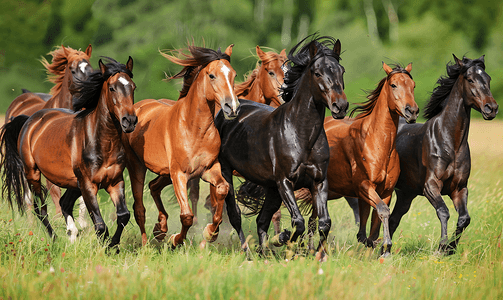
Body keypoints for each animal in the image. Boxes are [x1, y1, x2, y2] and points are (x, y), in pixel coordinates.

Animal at [121, 44, 240, 246]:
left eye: (234, 74)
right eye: (212, 75)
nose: (232, 107)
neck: (195, 129)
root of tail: (137, 108)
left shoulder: (208, 169)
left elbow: (222, 190)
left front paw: (210, 232)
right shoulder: (179, 174)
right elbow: (187, 216)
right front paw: (175, 240)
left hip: (165, 173)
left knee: (153, 186)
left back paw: (160, 229)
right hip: (137, 166)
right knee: (139, 208)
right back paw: (147, 243)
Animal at [215, 35, 348, 258]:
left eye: (342, 70)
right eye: (317, 73)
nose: (341, 106)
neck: (302, 135)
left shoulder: (319, 181)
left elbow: (323, 223)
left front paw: (316, 254)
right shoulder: (285, 182)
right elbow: (299, 222)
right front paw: (289, 247)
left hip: (271, 188)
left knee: (262, 220)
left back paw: (265, 253)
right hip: (226, 173)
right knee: (236, 215)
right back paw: (249, 252)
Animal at [386, 54, 500, 255]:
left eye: (488, 79)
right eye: (470, 79)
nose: (491, 108)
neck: (450, 143)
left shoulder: (460, 188)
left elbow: (464, 218)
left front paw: (451, 248)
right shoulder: (431, 186)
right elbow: (444, 212)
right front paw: (441, 247)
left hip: (406, 195)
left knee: (392, 220)